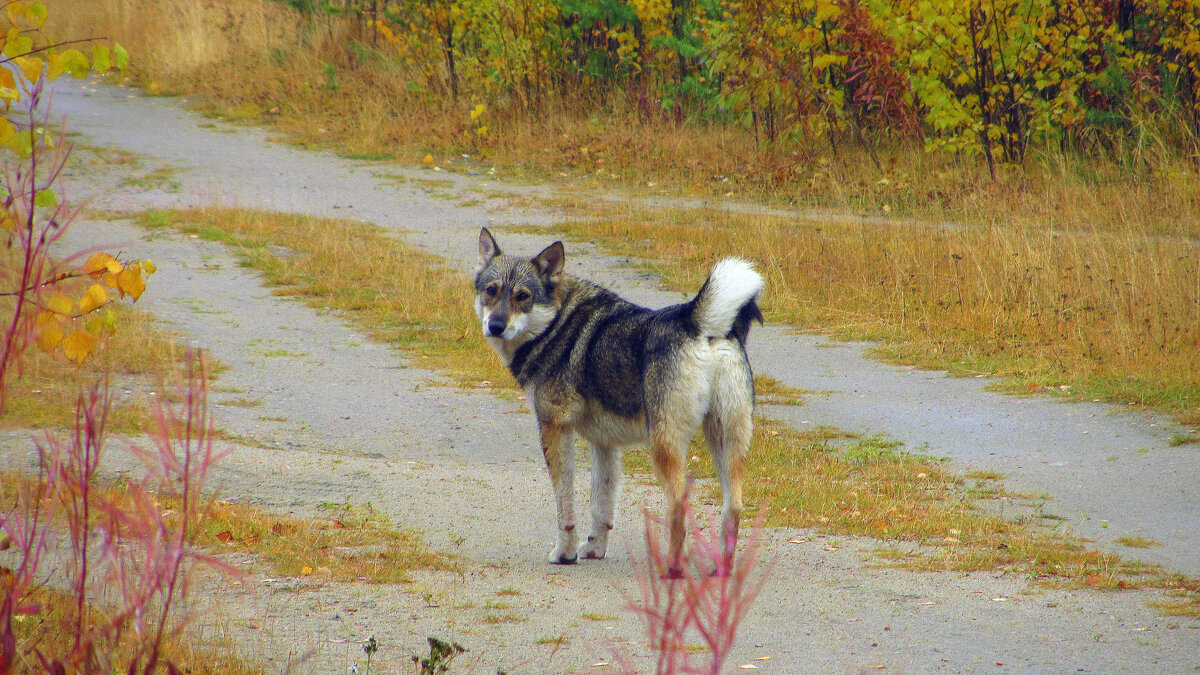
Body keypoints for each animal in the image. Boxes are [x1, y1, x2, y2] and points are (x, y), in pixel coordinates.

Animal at [472, 227, 763, 566]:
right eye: (491, 291)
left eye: (522, 296)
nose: (495, 326)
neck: (556, 323)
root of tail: (698, 321)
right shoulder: (604, 444)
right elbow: (601, 506)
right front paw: (595, 549)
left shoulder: (555, 430)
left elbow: (565, 505)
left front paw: (565, 553)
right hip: (725, 442)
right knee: (733, 508)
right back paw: (723, 569)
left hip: (664, 447)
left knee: (679, 506)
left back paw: (672, 567)